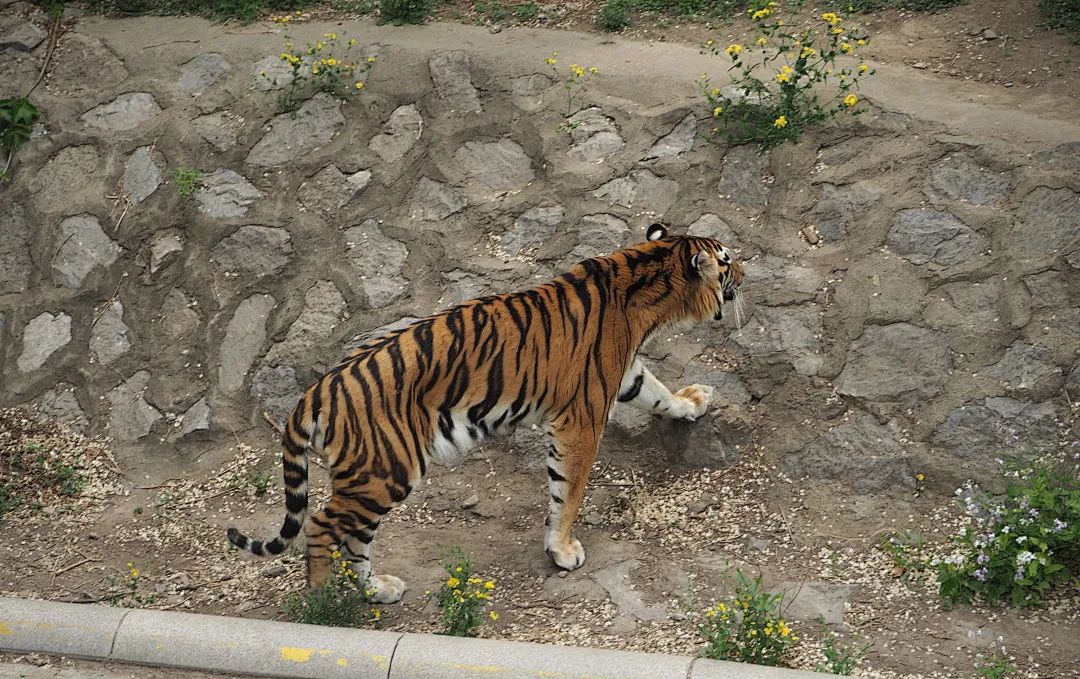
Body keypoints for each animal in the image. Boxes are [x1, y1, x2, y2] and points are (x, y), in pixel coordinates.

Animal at [227, 223, 743, 604]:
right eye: (726, 260)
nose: (745, 269)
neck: (643, 275)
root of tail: (315, 392)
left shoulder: (626, 375)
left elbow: (658, 393)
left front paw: (694, 402)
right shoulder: (583, 418)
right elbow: (569, 491)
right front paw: (562, 551)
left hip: (372, 477)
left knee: (354, 538)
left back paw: (379, 590)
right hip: (387, 470)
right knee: (319, 527)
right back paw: (321, 605)